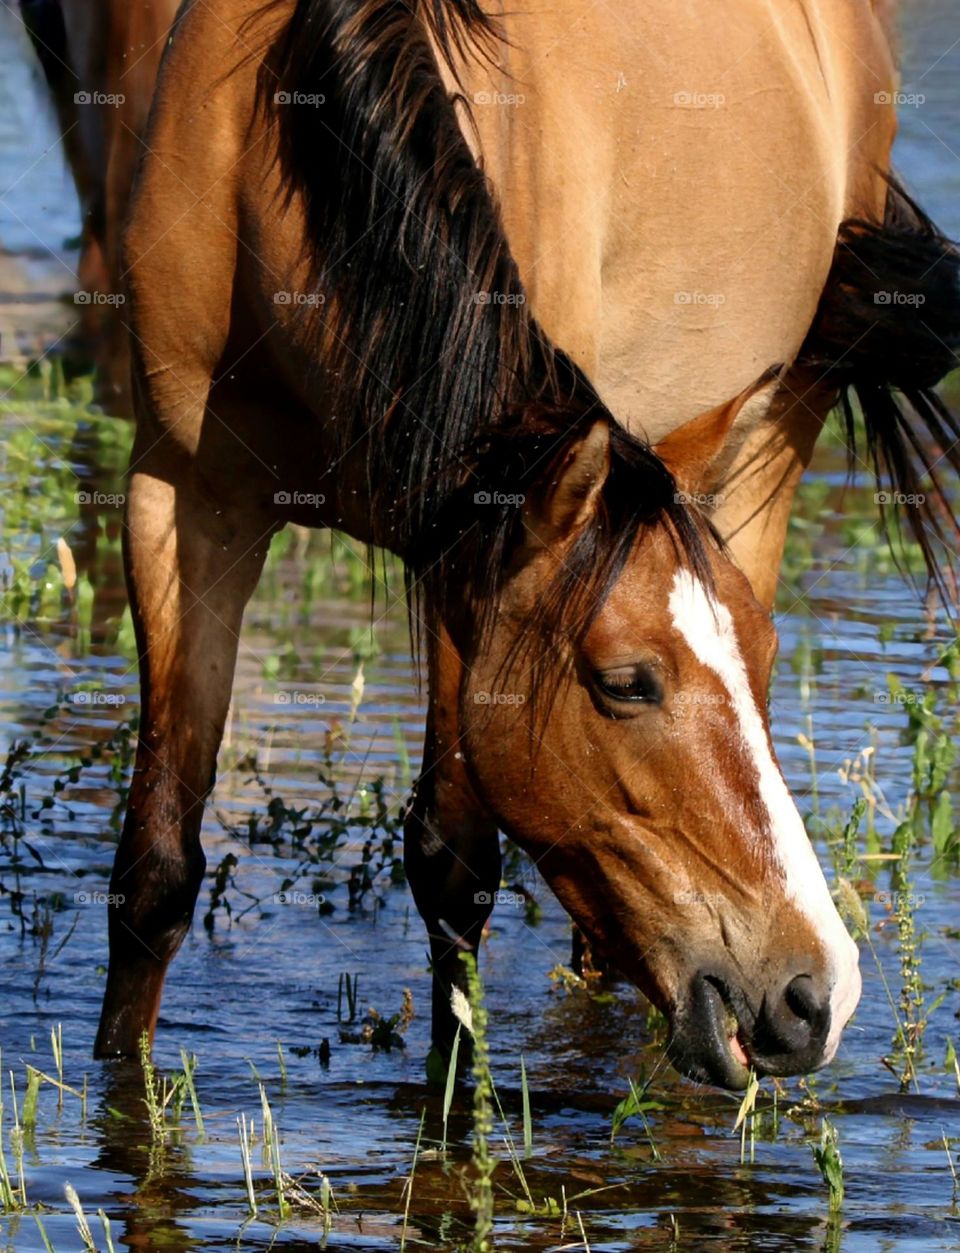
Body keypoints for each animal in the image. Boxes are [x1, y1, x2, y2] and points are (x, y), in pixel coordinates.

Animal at [91, 0, 960, 1091]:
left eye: (766, 662)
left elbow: (454, 863)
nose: (818, 993)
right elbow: (156, 869)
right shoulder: (183, 497)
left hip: (773, 442)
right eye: (628, 681)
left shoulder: (461, 550)